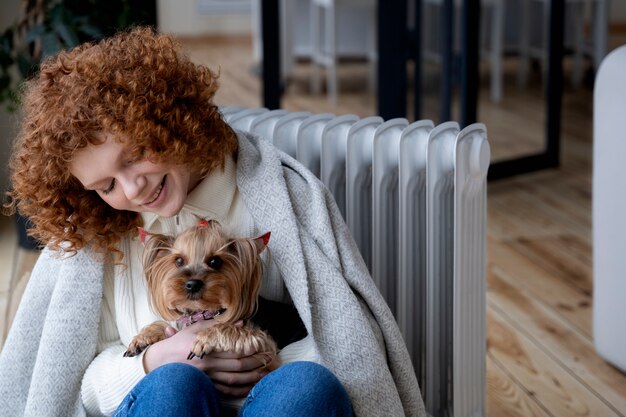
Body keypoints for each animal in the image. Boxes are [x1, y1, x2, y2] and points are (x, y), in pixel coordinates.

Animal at [122, 218, 278, 368]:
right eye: (179, 260)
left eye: (215, 261)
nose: (193, 285)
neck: (202, 312)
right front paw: (144, 337)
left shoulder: (266, 348)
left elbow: (234, 328)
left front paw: (206, 339)